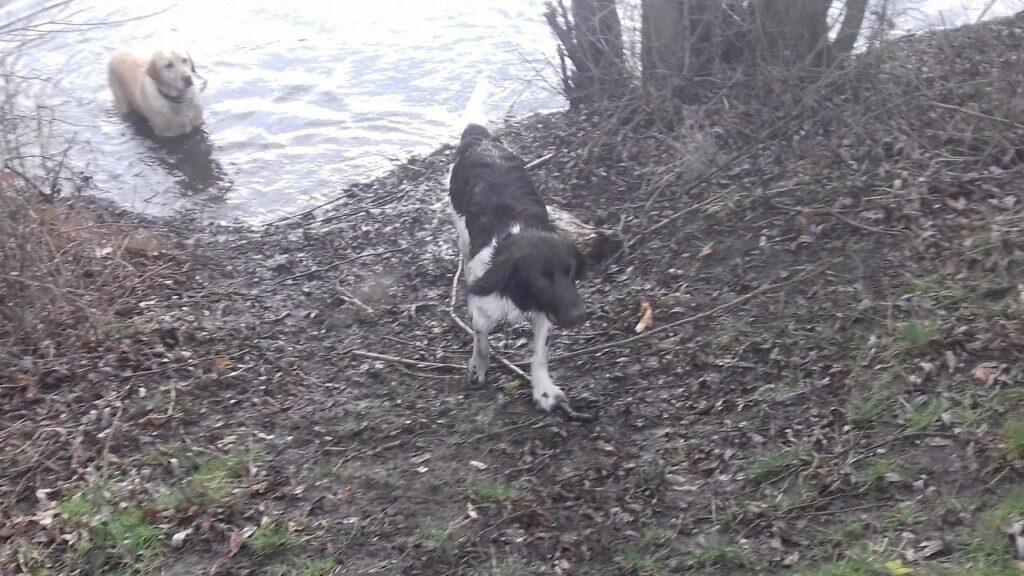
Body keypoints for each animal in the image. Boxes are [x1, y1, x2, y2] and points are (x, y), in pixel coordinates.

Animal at [446, 123, 585, 409]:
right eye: (541, 279)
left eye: (570, 273)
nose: (579, 316)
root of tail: (481, 138)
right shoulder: (481, 303)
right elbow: (482, 341)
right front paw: (477, 370)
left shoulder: (547, 310)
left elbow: (540, 353)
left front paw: (544, 391)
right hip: (459, 224)